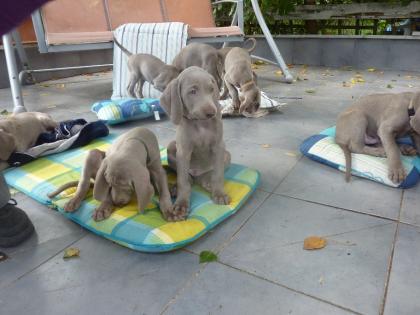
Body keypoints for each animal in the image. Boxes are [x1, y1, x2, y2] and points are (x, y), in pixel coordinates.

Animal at [48, 128, 180, 222]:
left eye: (128, 187)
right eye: (110, 184)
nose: (117, 203)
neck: (134, 141)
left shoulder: (157, 169)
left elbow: (163, 191)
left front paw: (169, 210)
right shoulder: (105, 168)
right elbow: (105, 190)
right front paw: (104, 206)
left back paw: (172, 188)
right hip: (93, 154)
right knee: (84, 184)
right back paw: (79, 202)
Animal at [161, 66, 233, 220]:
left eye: (211, 89)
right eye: (192, 91)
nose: (212, 113)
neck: (200, 124)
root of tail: (197, 173)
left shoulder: (218, 147)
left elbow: (218, 174)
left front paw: (219, 194)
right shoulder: (183, 151)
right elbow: (182, 180)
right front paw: (181, 204)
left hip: (226, 154)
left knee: (209, 174)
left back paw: (207, 182)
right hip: (172, 147)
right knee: (187, 178)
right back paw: (175, 187)